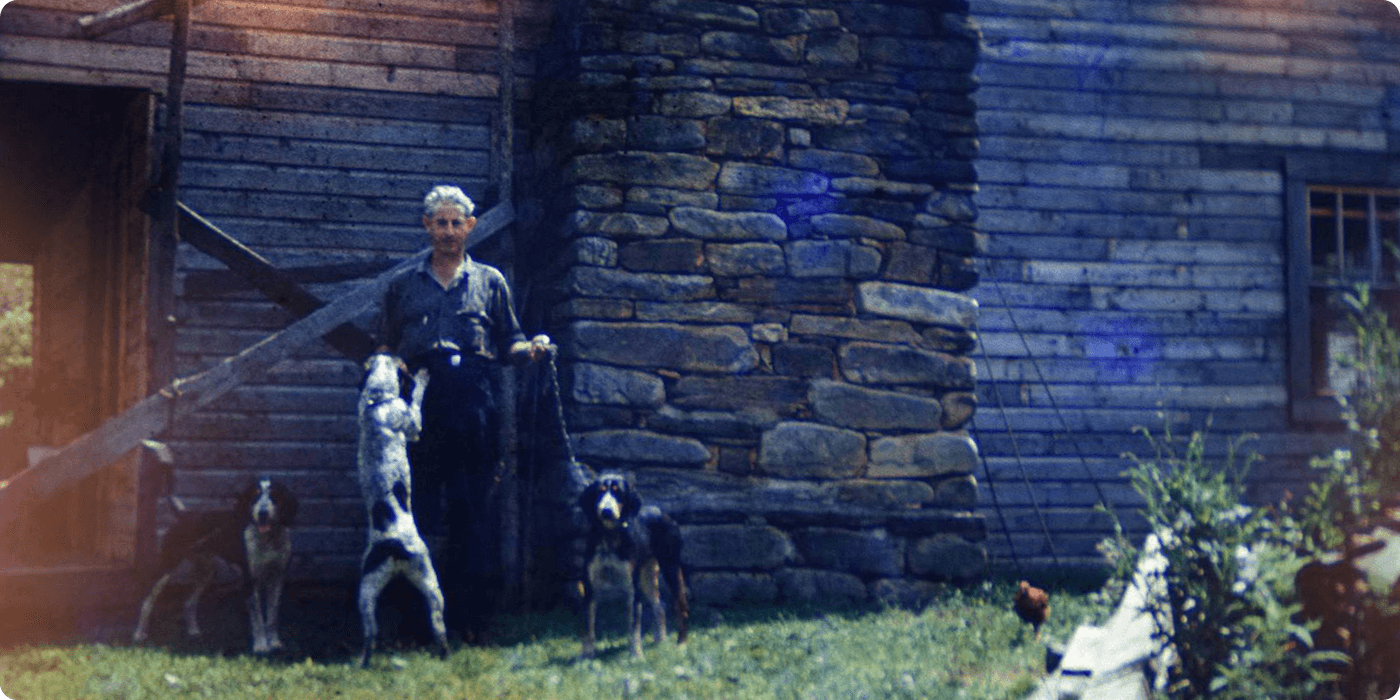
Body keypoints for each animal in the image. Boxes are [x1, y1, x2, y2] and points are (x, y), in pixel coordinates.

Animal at [132, 478, 296, 652]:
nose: (262, 513)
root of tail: (184, 514)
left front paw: (275, 643)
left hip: (207, 572)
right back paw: (139, 634)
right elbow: (257, 618)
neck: (268, 539)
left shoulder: (277, 579)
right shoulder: (250, 581)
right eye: (254, 495)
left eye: (274, 495)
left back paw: (193, 631)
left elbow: (272, 616)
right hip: (168, 566)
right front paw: (261, 646)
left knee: (189, 602)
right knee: (148, 600)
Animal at [355, 355, 448, 666]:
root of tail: (392, 547)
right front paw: (423, 377)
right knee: (438, 623)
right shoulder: (414, 425)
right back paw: (445, 654)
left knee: (370, 632)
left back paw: (364, 662)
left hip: (366, 591)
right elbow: (416, 400)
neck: (379, 400)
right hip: (430, 580)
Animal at [579, 473, 688, 658]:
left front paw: (636, 654)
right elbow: (588, 625)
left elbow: (634, 625)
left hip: (670, 567)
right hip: (647, 575)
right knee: (660, 606)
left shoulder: (632, 587)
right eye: (600, 492)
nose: (606, 511)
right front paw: (586, 655)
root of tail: (663, 512)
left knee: (681, 606)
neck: (609, 536)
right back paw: (660, 640)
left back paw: (681, 643)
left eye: (618, 492)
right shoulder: (589, 586)